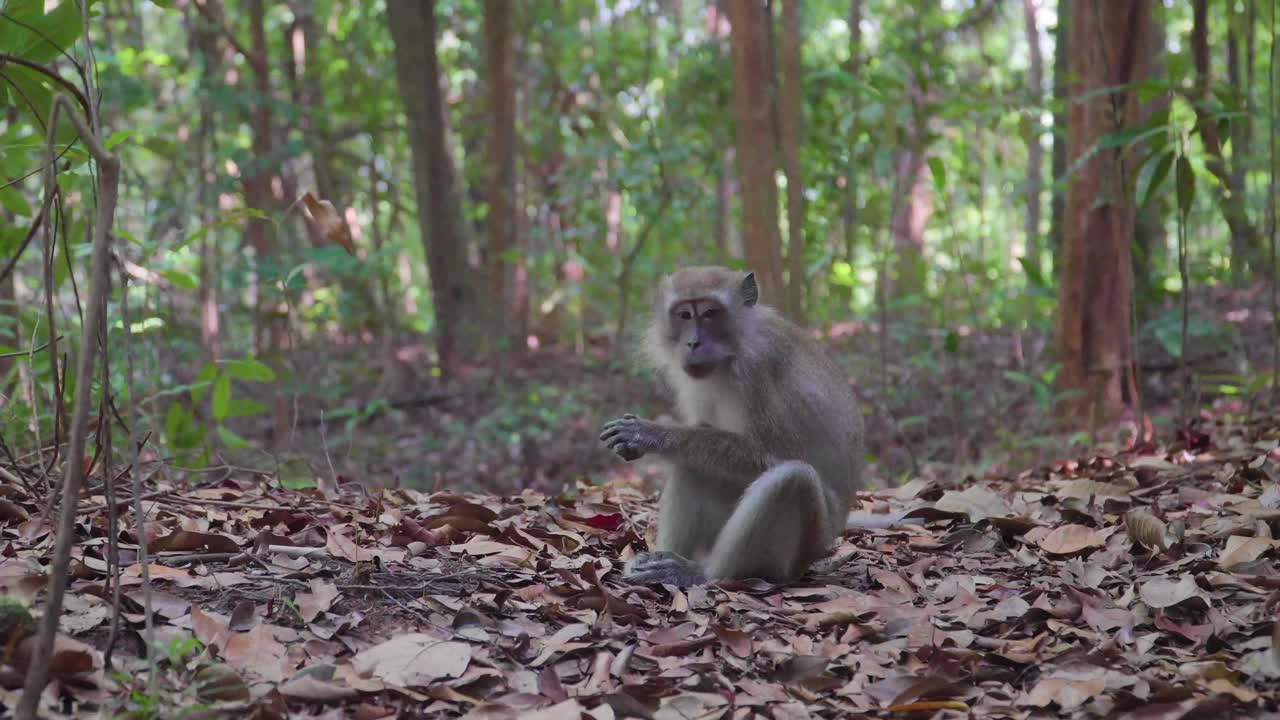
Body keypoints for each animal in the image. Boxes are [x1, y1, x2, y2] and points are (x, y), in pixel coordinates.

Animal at [599, 266, 880, 586]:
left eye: (710, 313)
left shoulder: (758, 368)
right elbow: (702, 430)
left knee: (792, 478)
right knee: (693, 465)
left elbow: (771, 455)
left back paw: (701, 573)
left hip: (802, 547)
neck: (731, 353)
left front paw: (652, 434)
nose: (693, 343)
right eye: (684, 315)